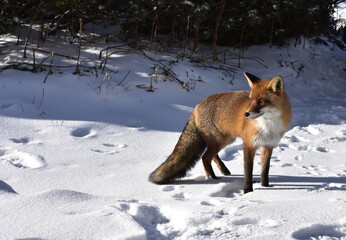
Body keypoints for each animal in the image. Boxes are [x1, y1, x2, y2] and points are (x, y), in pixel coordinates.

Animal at [149, 72, 292, 193]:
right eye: (251, 100)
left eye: (261, 101)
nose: (246, 114)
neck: (268, 125)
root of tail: (196, 106)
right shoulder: (249, 144)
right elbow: (248, 171)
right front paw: (247, 191)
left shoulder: (268, 146)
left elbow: (265, 170)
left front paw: (265, 186)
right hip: (220, 140)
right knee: (205, 157)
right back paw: (213, 178)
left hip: (224, 140)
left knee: (212, 155)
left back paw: (223, 170)